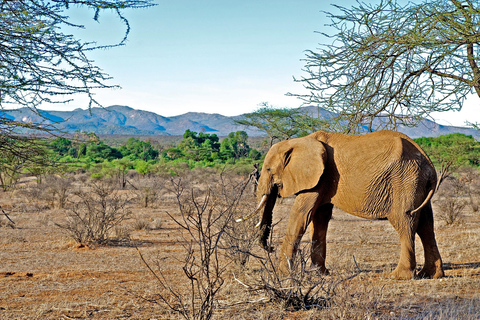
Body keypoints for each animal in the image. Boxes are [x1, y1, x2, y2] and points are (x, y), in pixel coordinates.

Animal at [246, 130, 444, 280]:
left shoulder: (318, 177)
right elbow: (320, 217)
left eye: (268, 169)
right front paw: (320, 274)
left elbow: (301, 215)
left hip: (405, 181)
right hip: (418, 184)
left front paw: (283, 275)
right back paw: (431, 275)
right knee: (426, 226)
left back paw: (398, 276)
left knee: (405, 222)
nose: (270, 248)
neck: (299, 141)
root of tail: (430, 165)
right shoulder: (323, 179)